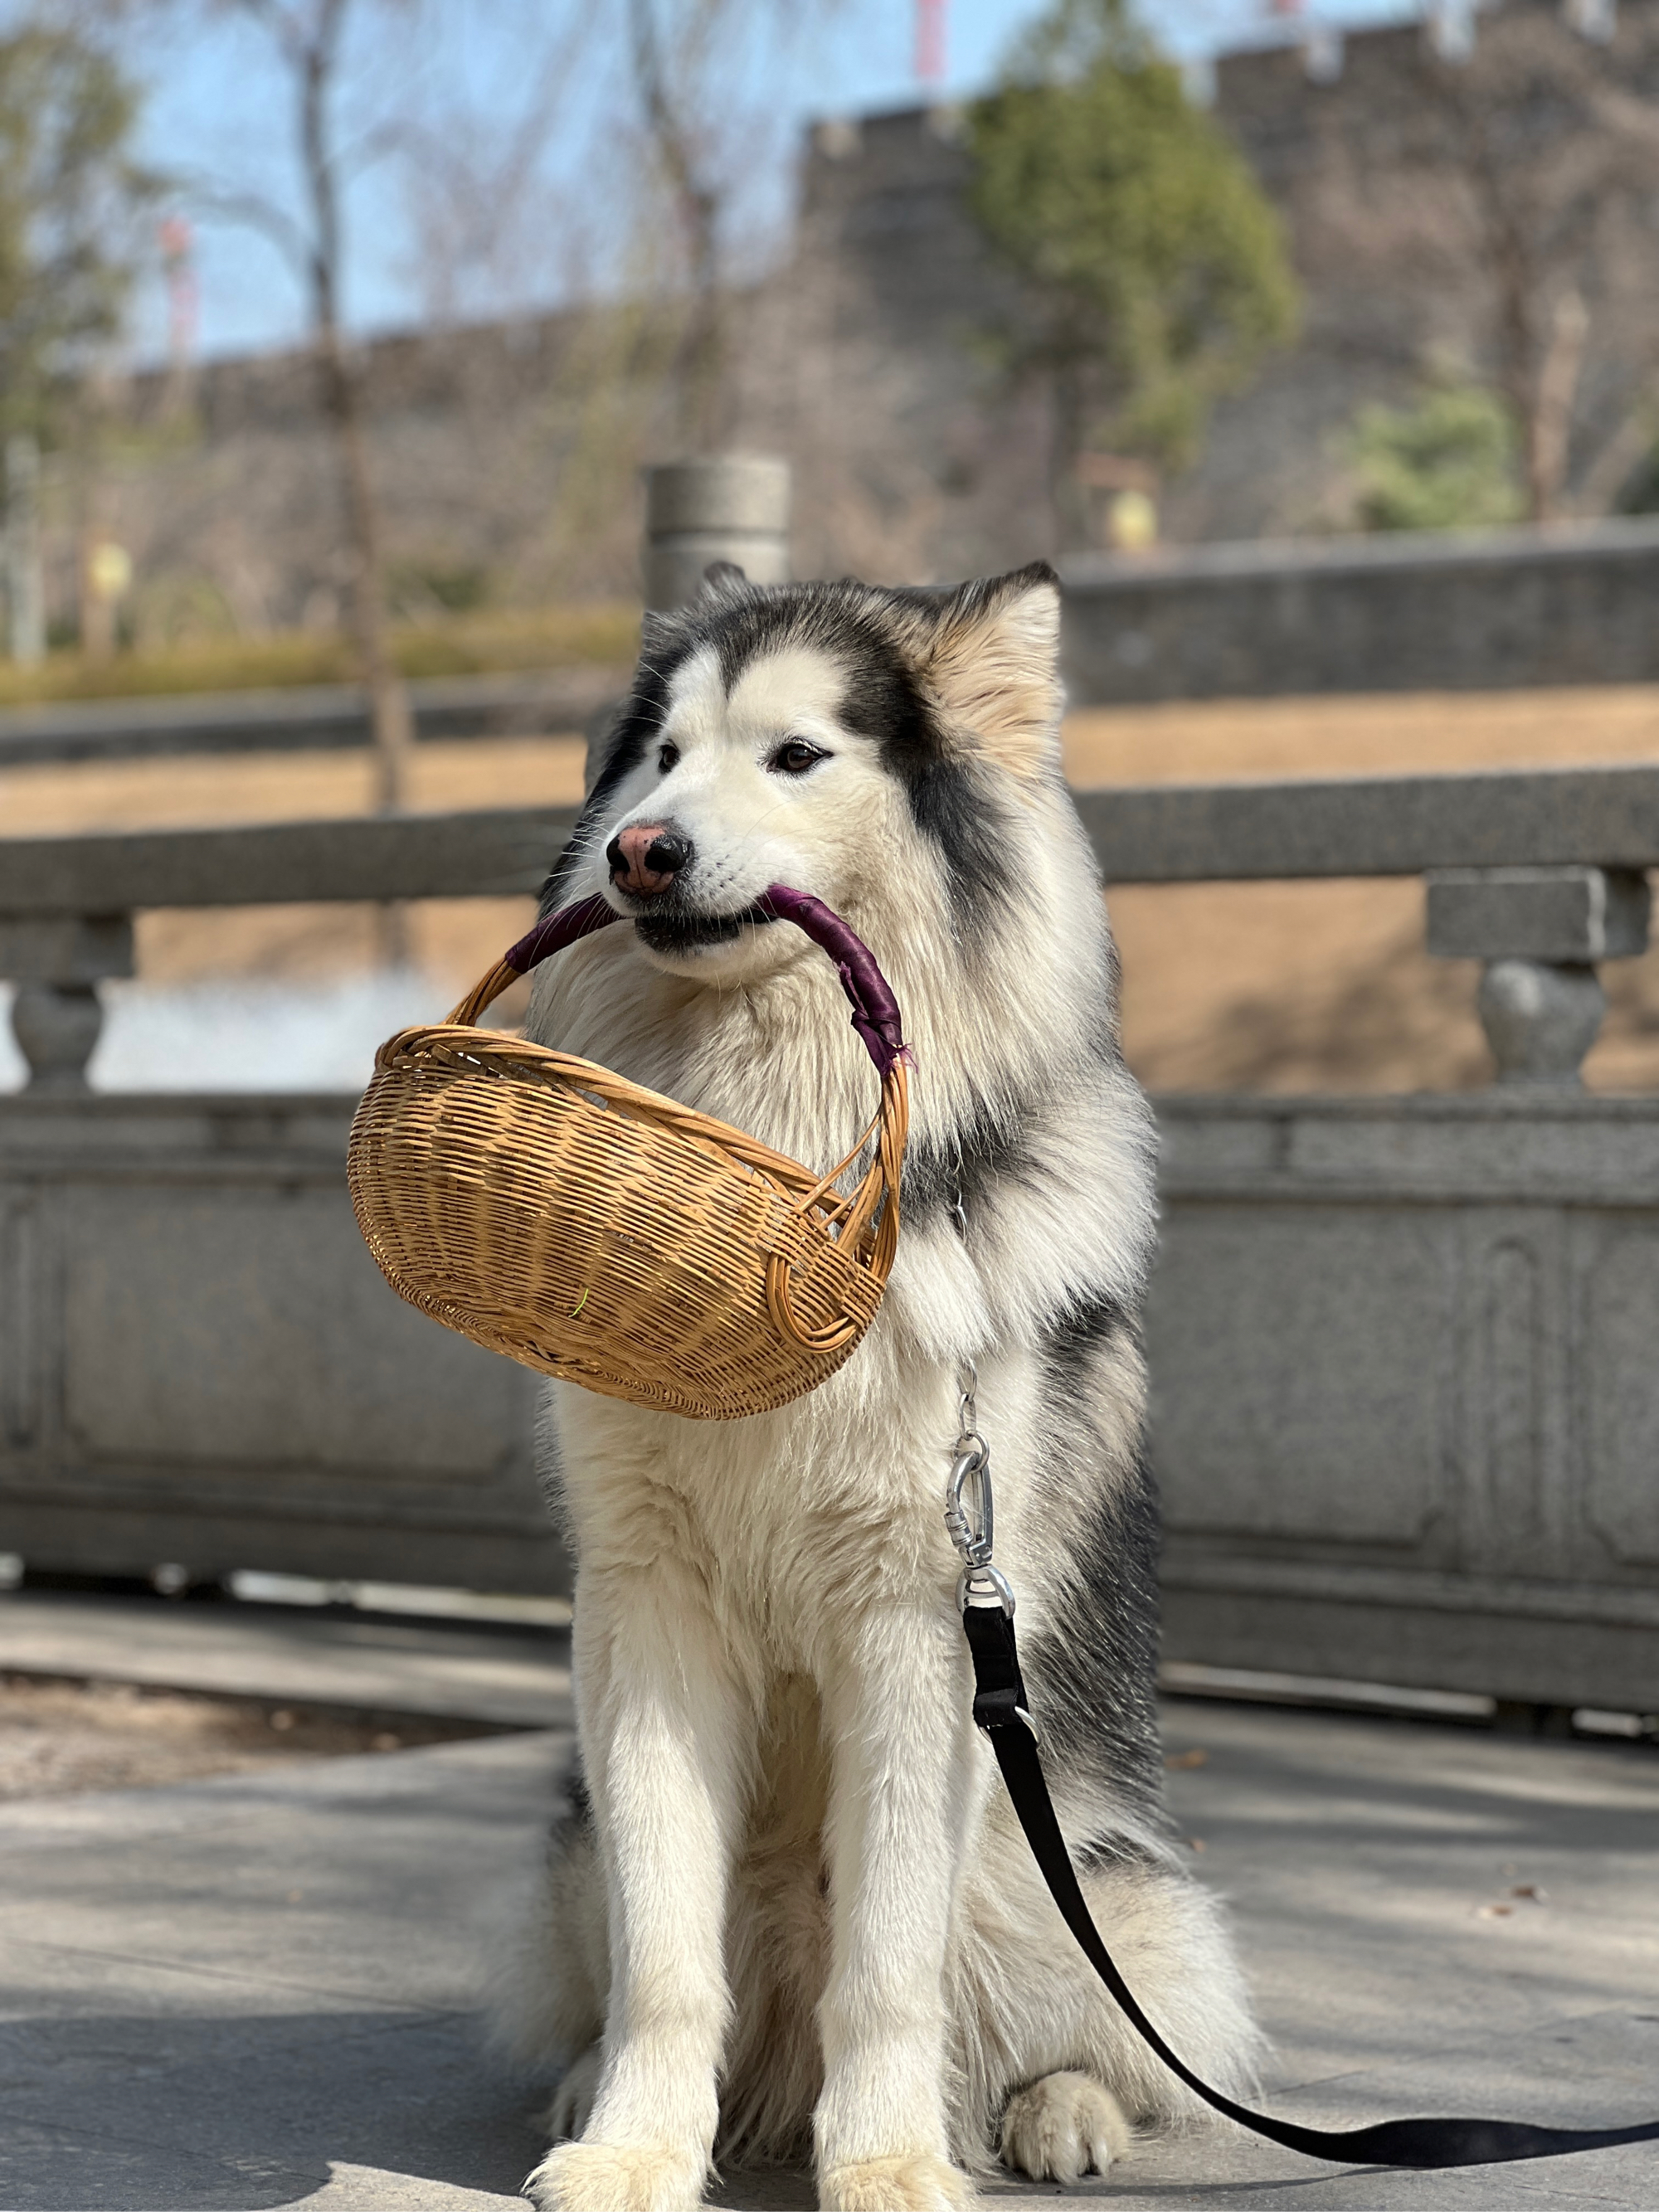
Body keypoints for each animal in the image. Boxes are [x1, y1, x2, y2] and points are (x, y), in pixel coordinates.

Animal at [493, 566, 1256, 2212]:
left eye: (796, 756)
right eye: (660, 757)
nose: (644, 849)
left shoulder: (923, 1615)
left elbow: (891, 1961)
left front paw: (894, 2163)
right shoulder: (646, 1601)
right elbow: (665, 1949)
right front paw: (634, 2149)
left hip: (1087, 1868)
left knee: (1099, 2023)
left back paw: (1056, 2113)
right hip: (572, 1852)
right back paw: (596, 2086)